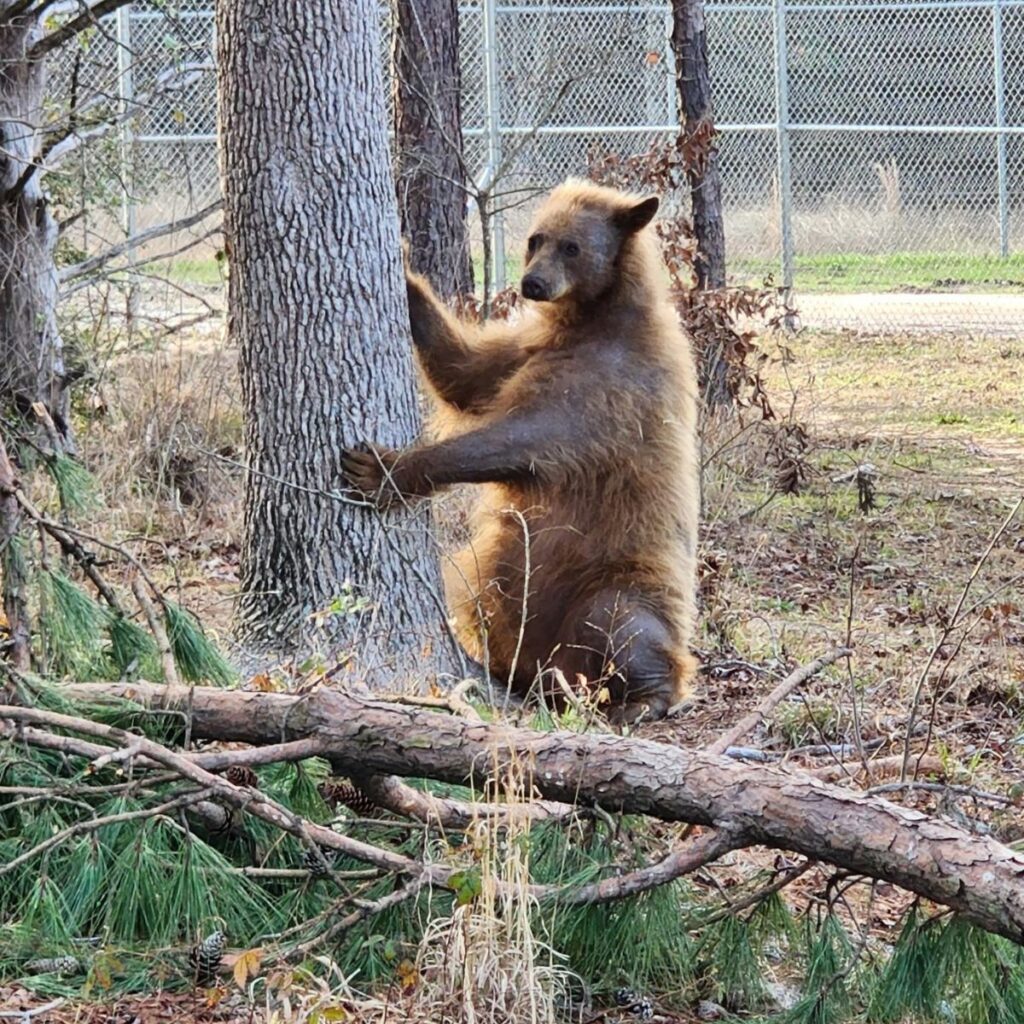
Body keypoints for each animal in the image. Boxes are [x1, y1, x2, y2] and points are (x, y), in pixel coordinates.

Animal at [342, 178, 699, 723]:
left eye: (572, 246)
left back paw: (642, 700)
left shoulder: (611, 383)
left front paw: (383, 468)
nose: (532, 284)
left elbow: (524, 437)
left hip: (621, 576)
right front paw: (402, 268)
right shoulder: (528, 349)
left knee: (622, 619)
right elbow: (464, 372)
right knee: (482, 600)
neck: (592, 317)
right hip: (501, 579)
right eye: (536, 238)